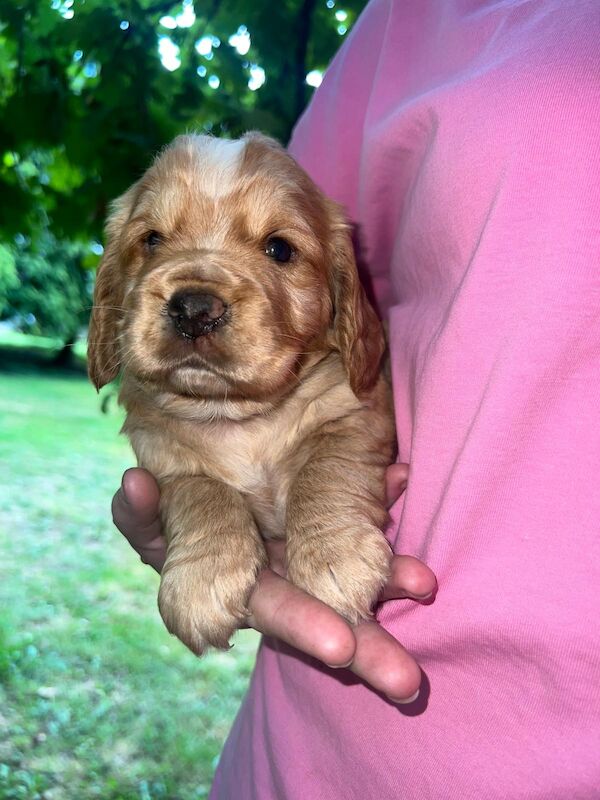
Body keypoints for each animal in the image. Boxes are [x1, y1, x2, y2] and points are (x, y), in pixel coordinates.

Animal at [89, 133, 396, 656]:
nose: (194, 309)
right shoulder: (160, 451)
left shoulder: (358, 414)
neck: (236, 415)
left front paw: (336, 555)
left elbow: (326, 467)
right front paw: (203, 578)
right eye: (152, 240)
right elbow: (201, 489)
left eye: (279, 248)